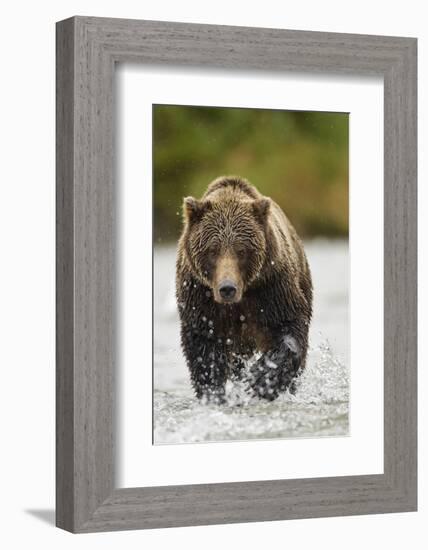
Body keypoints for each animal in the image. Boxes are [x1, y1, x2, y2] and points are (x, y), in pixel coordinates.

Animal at [176, 178, 312, 406]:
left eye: (241, 250)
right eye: (212, 250)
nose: (227, 288)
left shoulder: (271, 288)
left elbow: (289, 327)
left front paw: (261, 380)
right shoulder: (200, 297)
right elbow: (204, 347)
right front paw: (214, 393)